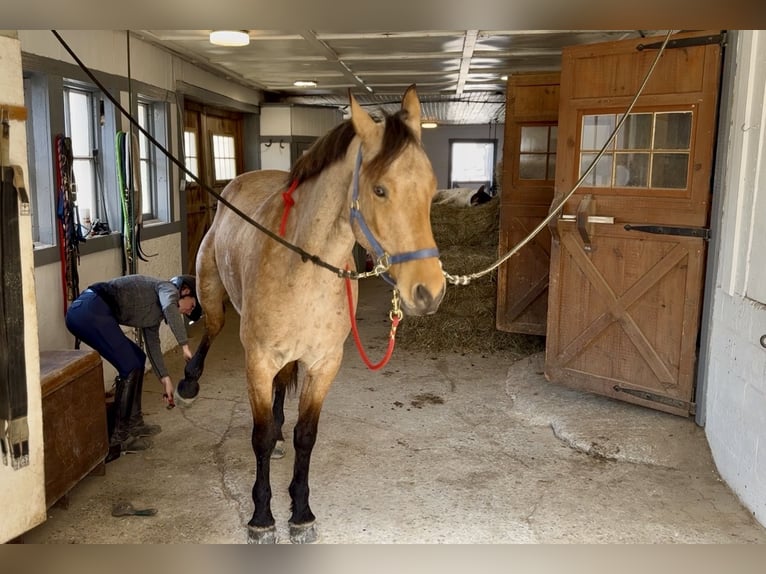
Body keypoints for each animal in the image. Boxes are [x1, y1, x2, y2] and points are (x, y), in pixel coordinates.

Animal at [176, 85, 446, 543]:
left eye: (431, 188)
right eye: (380, 190)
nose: (429, 291)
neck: (302, 269)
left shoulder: (323, 363)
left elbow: (306, 436)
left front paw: (300, 512)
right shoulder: (258, 361)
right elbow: (260, 437)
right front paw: (262, 517)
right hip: (212, 295)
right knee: (211, 328)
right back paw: (189, 382)